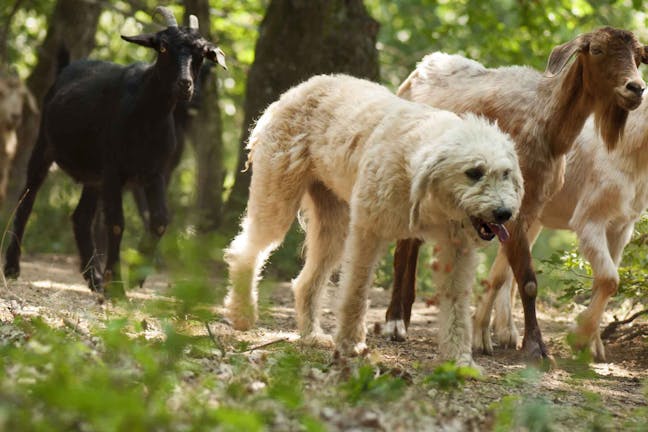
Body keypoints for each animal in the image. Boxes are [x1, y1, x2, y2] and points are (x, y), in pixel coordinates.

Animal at [3, 6, 227, 296]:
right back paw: (12, 268)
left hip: (94, 176)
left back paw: (95, 279)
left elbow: (159, 220)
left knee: (80, 216)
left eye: (201, 53)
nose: (185, 85)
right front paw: (118, 285)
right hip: (45, 147)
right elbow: (117, 222)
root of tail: (67, 67)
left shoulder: (153, 172)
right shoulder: (114, 170)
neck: (147, 118)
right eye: (163, 47)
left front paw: (135, 276)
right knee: (27, 200)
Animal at [225, 73, 524, 364]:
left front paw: (460, 360)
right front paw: (349, 344)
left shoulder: (457, 251)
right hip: (277, 202)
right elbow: (355, 292)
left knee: (305, 282)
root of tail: (297, 89)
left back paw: (311, 336)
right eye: (474, 172)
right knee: (245, 251)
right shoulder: (367, 233)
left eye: (505, 173)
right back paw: (242, 314)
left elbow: (456, 307)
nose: (504, 214)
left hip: (333, 227)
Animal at [384, 25, 648, 360]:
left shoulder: (533, 208)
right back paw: (394, 323)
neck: (547, 126)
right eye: (597, 50)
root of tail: (417, 70)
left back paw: (408, 316)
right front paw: (536, 346)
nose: (635, 88)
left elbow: (519, 277)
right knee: (403, 247)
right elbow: (527, 279)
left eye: (638, 57)